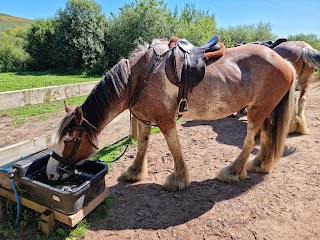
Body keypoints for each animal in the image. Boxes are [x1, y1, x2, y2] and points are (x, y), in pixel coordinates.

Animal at [46, 38, 296, 191]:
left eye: (70, 139)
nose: (50, 174)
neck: (140, 77)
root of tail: (284, 62)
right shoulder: (144, 119)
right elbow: (143, 145)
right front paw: (134, 172)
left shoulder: (165, 120)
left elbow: (173, 147)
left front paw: (178, 179)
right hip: (266, 111)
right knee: (267, 137)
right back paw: (259, 164)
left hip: (257, 111)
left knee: (249, 141)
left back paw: (233, 171)